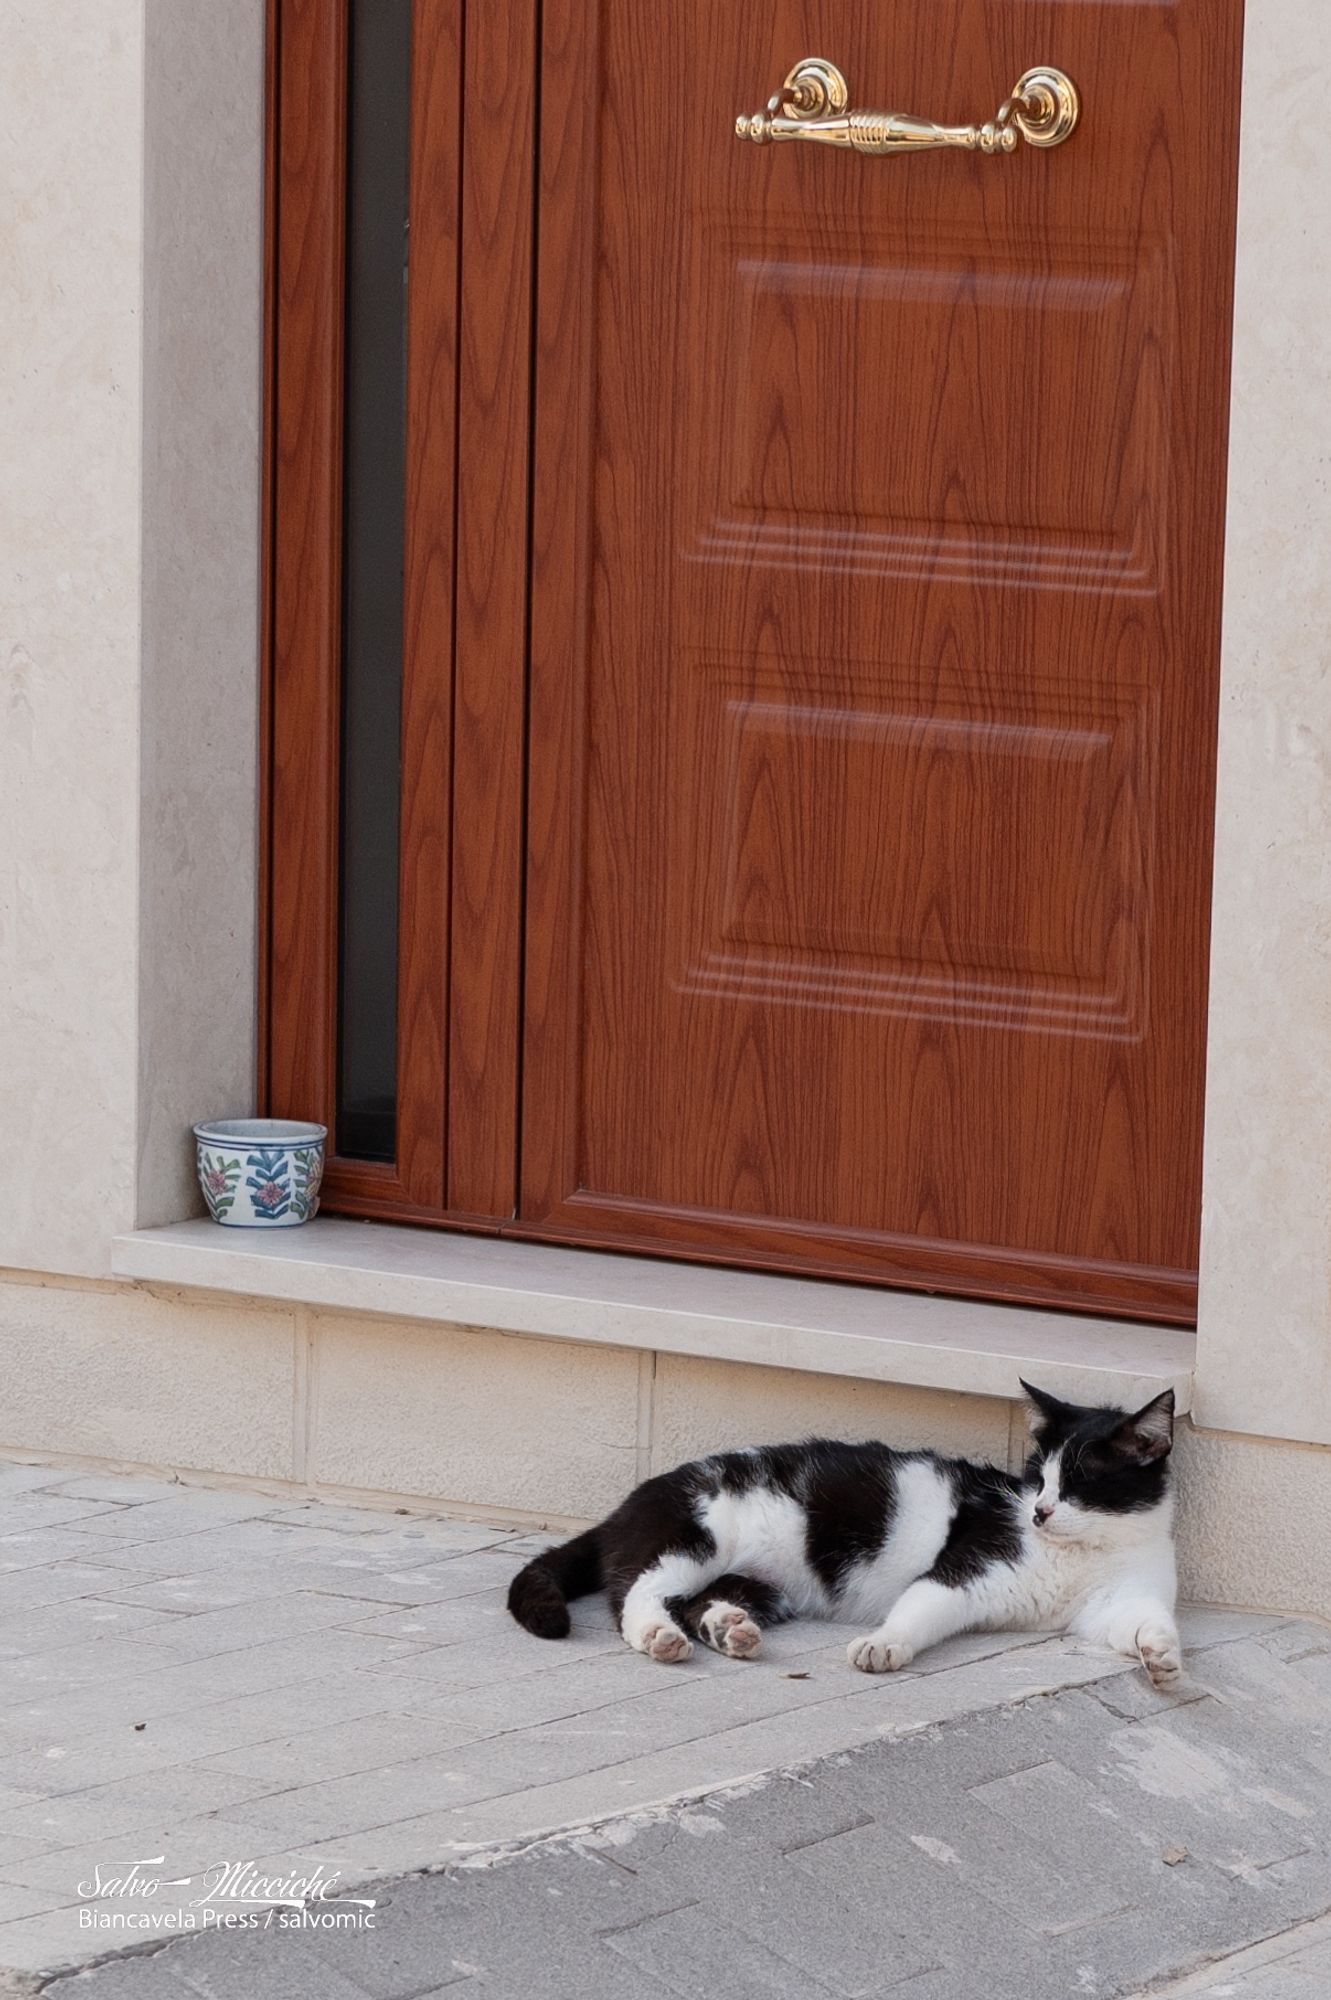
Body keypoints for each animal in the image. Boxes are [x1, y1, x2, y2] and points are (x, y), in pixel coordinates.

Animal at [507, 1376, 1183, 1688]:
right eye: (1037, 1477)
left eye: (1078, 1484)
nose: (1039, 1512)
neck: (1086, 1552)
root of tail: (626, 1505)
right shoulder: (966, 1570)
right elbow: (918, 1607)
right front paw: (883, 1646)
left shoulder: (1114, 1604)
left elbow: (1143, 1622)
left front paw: (1163, 1656)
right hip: (695, 1535)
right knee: (637, 1592)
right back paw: (659, 1635)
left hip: (759, 1584)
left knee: (697, 1600)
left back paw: (728, 1628)